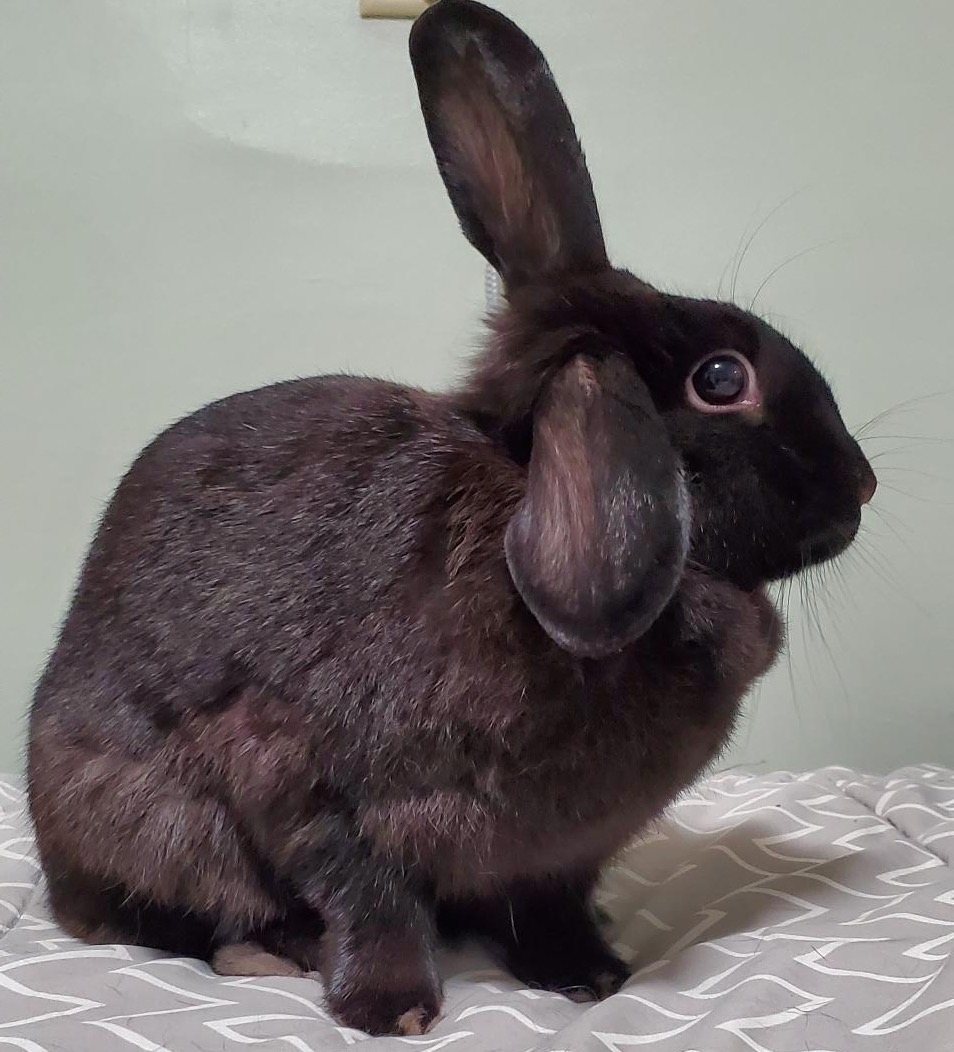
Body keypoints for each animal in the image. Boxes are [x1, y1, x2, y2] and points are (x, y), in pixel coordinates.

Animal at [26, 0, 875, 1035]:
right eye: (722, 378)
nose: (863, 485)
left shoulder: (561, 854)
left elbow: (549, 906)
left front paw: (589, 975)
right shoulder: (297, 775)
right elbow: (370, 898)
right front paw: (392, 1009)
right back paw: (265, 948)